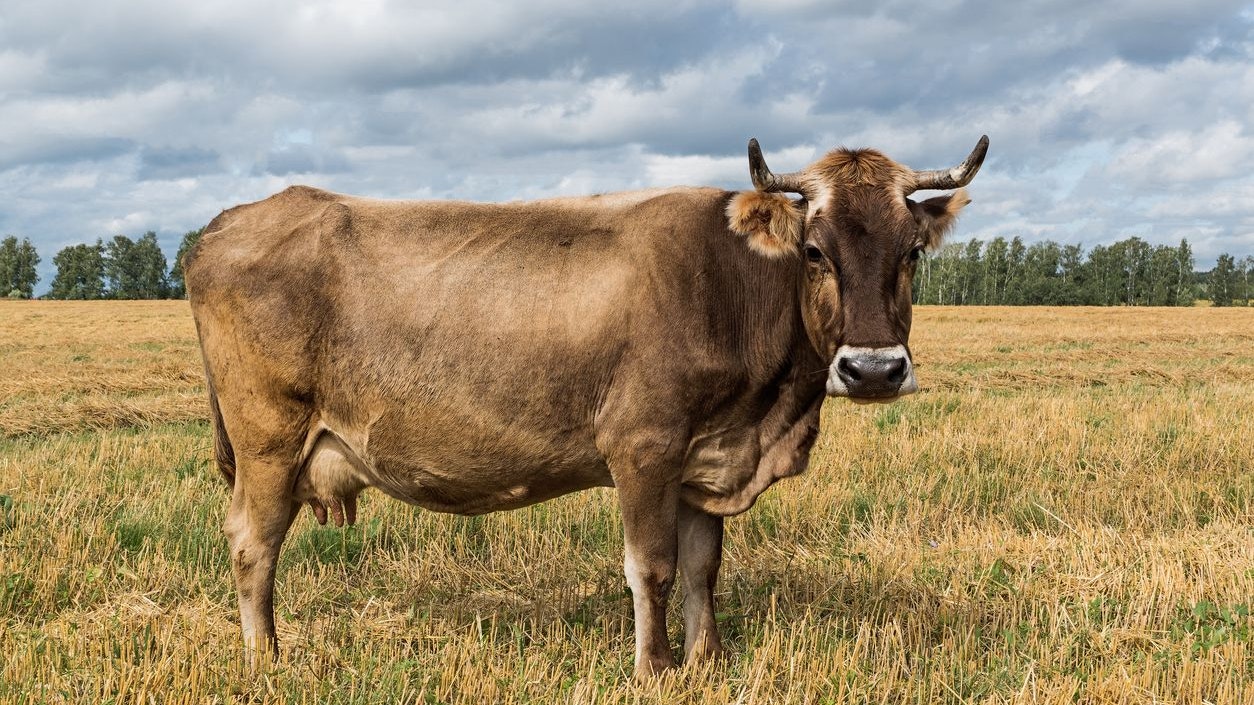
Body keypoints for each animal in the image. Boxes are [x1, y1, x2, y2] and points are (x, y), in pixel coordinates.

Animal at [185, 135, 988, 679]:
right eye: (815, 251)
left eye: (913, 251)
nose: (874, 369)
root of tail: (230, 221)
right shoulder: (644, 448)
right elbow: (653, 566)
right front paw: (654, 669)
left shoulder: (704, 458)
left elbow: (703, 567)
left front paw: (707, 659)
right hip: (268, 442)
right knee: (252, 543)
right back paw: (266, 659)